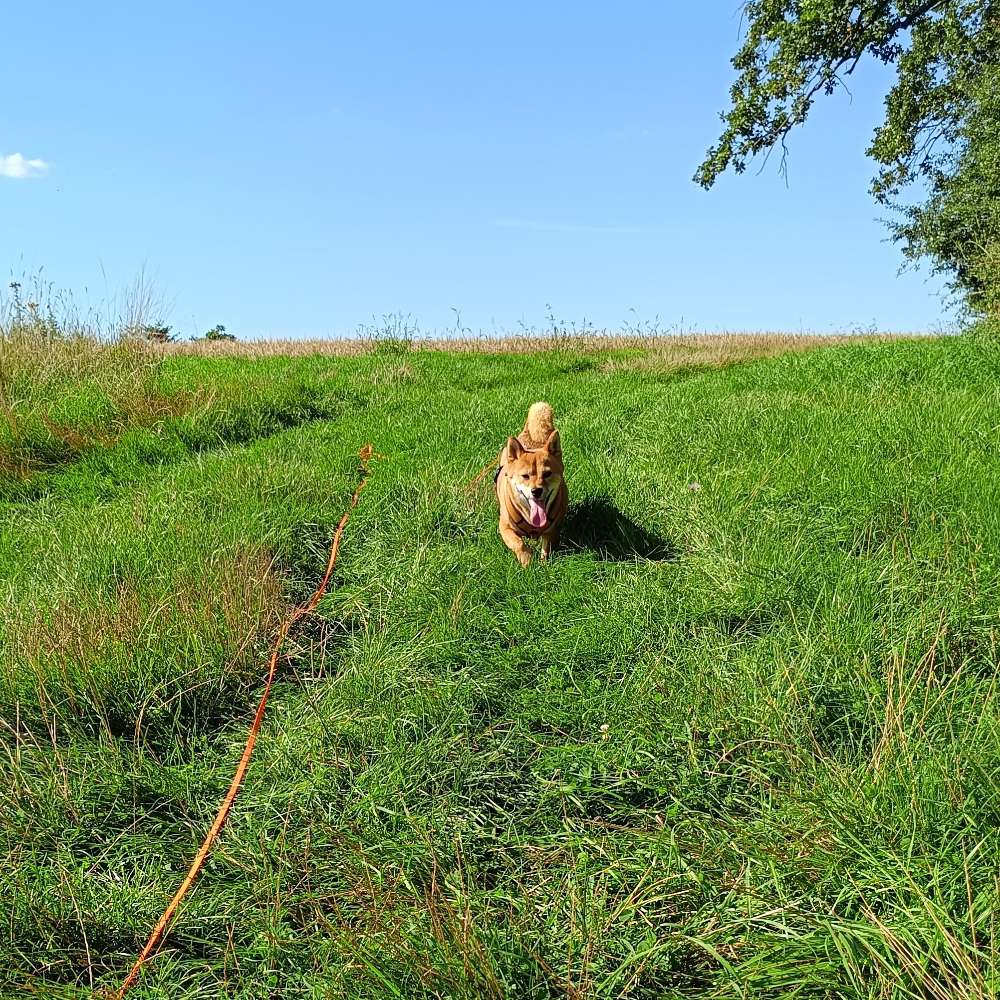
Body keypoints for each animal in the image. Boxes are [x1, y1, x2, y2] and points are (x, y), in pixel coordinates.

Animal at [494, 402, 568, 568]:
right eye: (525, 476)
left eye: (547, 474)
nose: (536, 491)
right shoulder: (504, 527)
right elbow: (518, 543)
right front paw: (527, 560)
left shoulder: (552, 529)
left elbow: (547, 544)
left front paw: (543, 563)